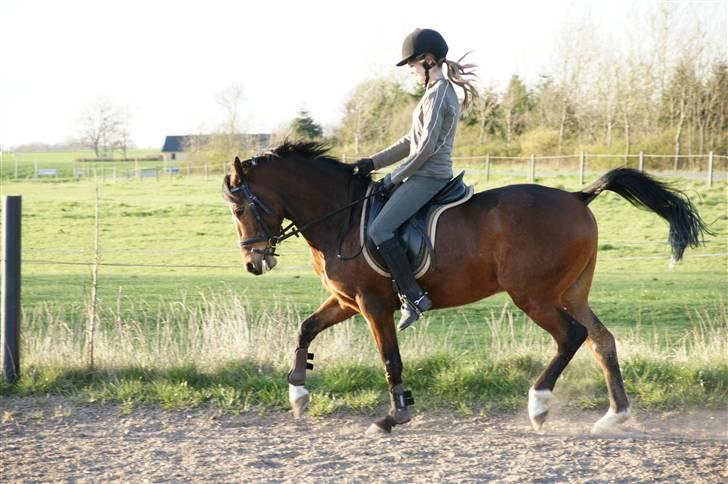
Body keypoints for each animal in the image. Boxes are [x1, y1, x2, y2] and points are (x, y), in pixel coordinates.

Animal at [222, 141, 711, 435]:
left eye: (241, 207)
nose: (253, 262)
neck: (340, 216)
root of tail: (577, 196)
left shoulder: (372, 303)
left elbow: (390, 357)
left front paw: (394, 416)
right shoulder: (347, 301)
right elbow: (306, 328)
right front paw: (298, 393)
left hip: (534, 296)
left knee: (571, 337)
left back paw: (539, 404)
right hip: (570, 292)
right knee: (601, 340)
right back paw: (615, 416)